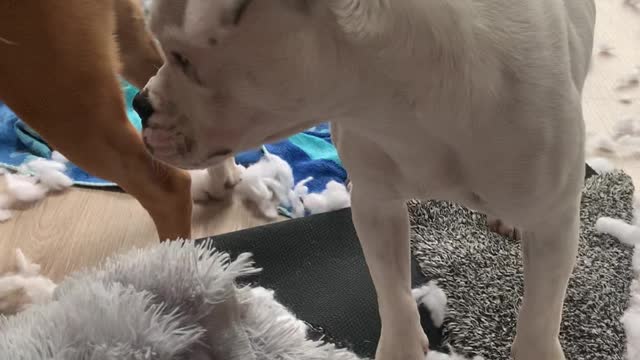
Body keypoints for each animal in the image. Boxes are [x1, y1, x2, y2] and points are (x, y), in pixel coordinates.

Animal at [134, 1, 596, 358]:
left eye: (182, 58)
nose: (139, 104)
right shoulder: (376, 204)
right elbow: (392, 290)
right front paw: (402, 348)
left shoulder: (555, 226)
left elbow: (541, 312)